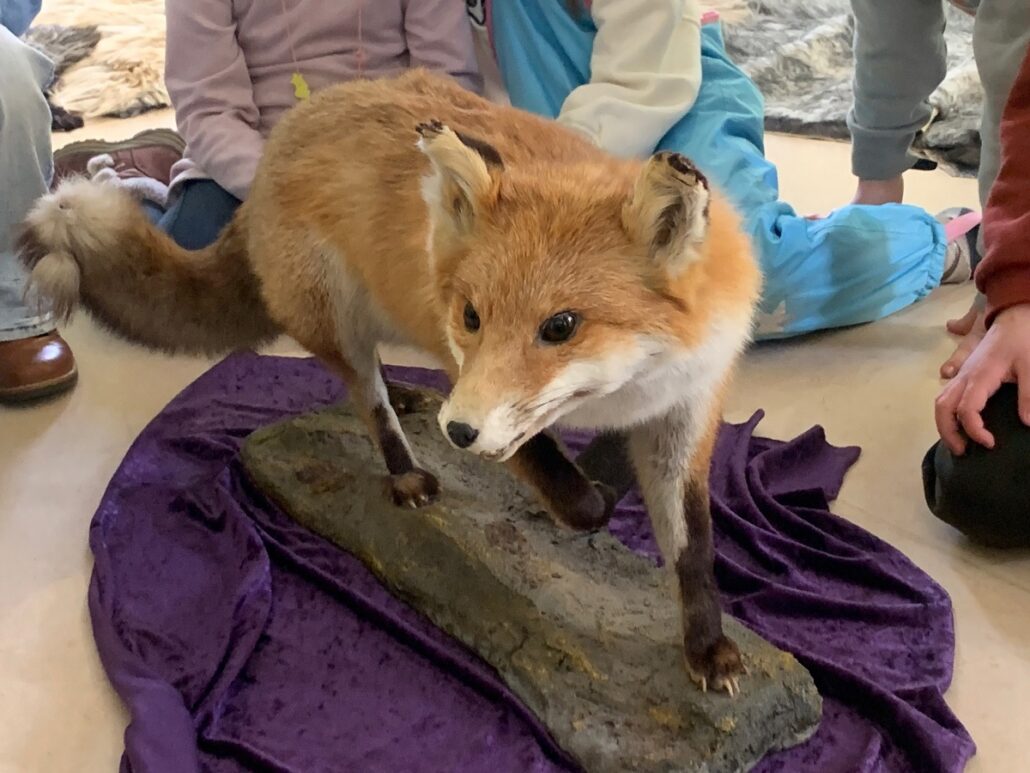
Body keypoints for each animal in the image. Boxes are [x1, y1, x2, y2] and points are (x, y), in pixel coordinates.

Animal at [20, 71, 762, 696]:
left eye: (561, 326)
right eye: (473, 316)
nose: (457, 432)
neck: (622, 392)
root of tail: (281, 141)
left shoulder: (688, 408)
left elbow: (694, 546)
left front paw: (706, 646)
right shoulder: (467, 371)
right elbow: (579, 499)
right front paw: (585, 491)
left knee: (370, 379)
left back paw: (410, 404)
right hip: (338, 310)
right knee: (365, 394)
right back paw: (405, 466)